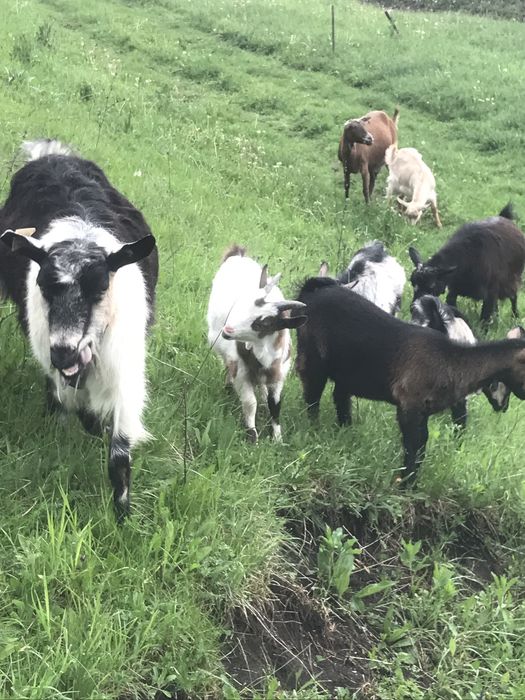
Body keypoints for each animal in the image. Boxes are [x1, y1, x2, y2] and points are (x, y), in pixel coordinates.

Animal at [0, 139, 158, 518]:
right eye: (43, 286)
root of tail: (53, 156)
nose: (64, 352)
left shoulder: (125, 367)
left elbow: (119, 451)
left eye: (100, 287)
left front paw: (122, 515)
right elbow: (76, 403)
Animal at [207, 246, 306, 442]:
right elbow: (249, 402)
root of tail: (238, 255)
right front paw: (253, 436)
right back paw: (229, 387)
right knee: (228, 366)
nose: (227, 330)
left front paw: (277, 438)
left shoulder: (278, 376)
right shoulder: (242, 372)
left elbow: (275, 404)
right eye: (241, 305)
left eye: (265, 323)